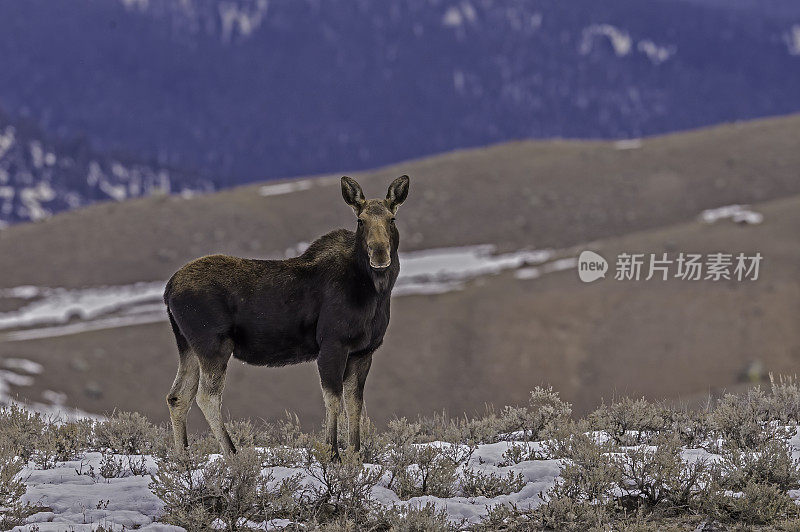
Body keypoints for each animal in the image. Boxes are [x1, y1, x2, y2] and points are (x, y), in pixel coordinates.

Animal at [165, 176, 410, 458]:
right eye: (360, 220)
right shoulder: (332, 344)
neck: (375, 292)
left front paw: (355, 455)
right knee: (206, 397)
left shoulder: (363, 352)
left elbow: (355, 405)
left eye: (392, 218)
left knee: (178, 397)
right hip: (213, 345)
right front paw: (333, 455)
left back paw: (183, 459)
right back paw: (233, 455)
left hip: (187, 345)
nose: (380, 254)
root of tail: (168, 289)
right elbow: (333, 400)